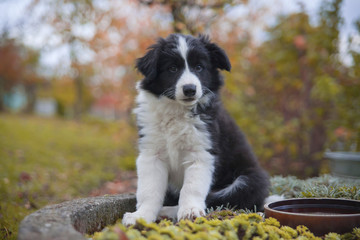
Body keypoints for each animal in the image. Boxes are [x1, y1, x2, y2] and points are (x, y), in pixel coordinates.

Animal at [122, 33, 268, 225]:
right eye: (172, 68)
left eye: (199, 67)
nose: (190, 89)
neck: (177, 111)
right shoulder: (152, 153)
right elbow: (149, 190)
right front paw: (141, 215)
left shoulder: (201, 152)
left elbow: (191, 187)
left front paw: (190, 211)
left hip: (249, 181)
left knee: (220, 200)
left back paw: (169, 211)